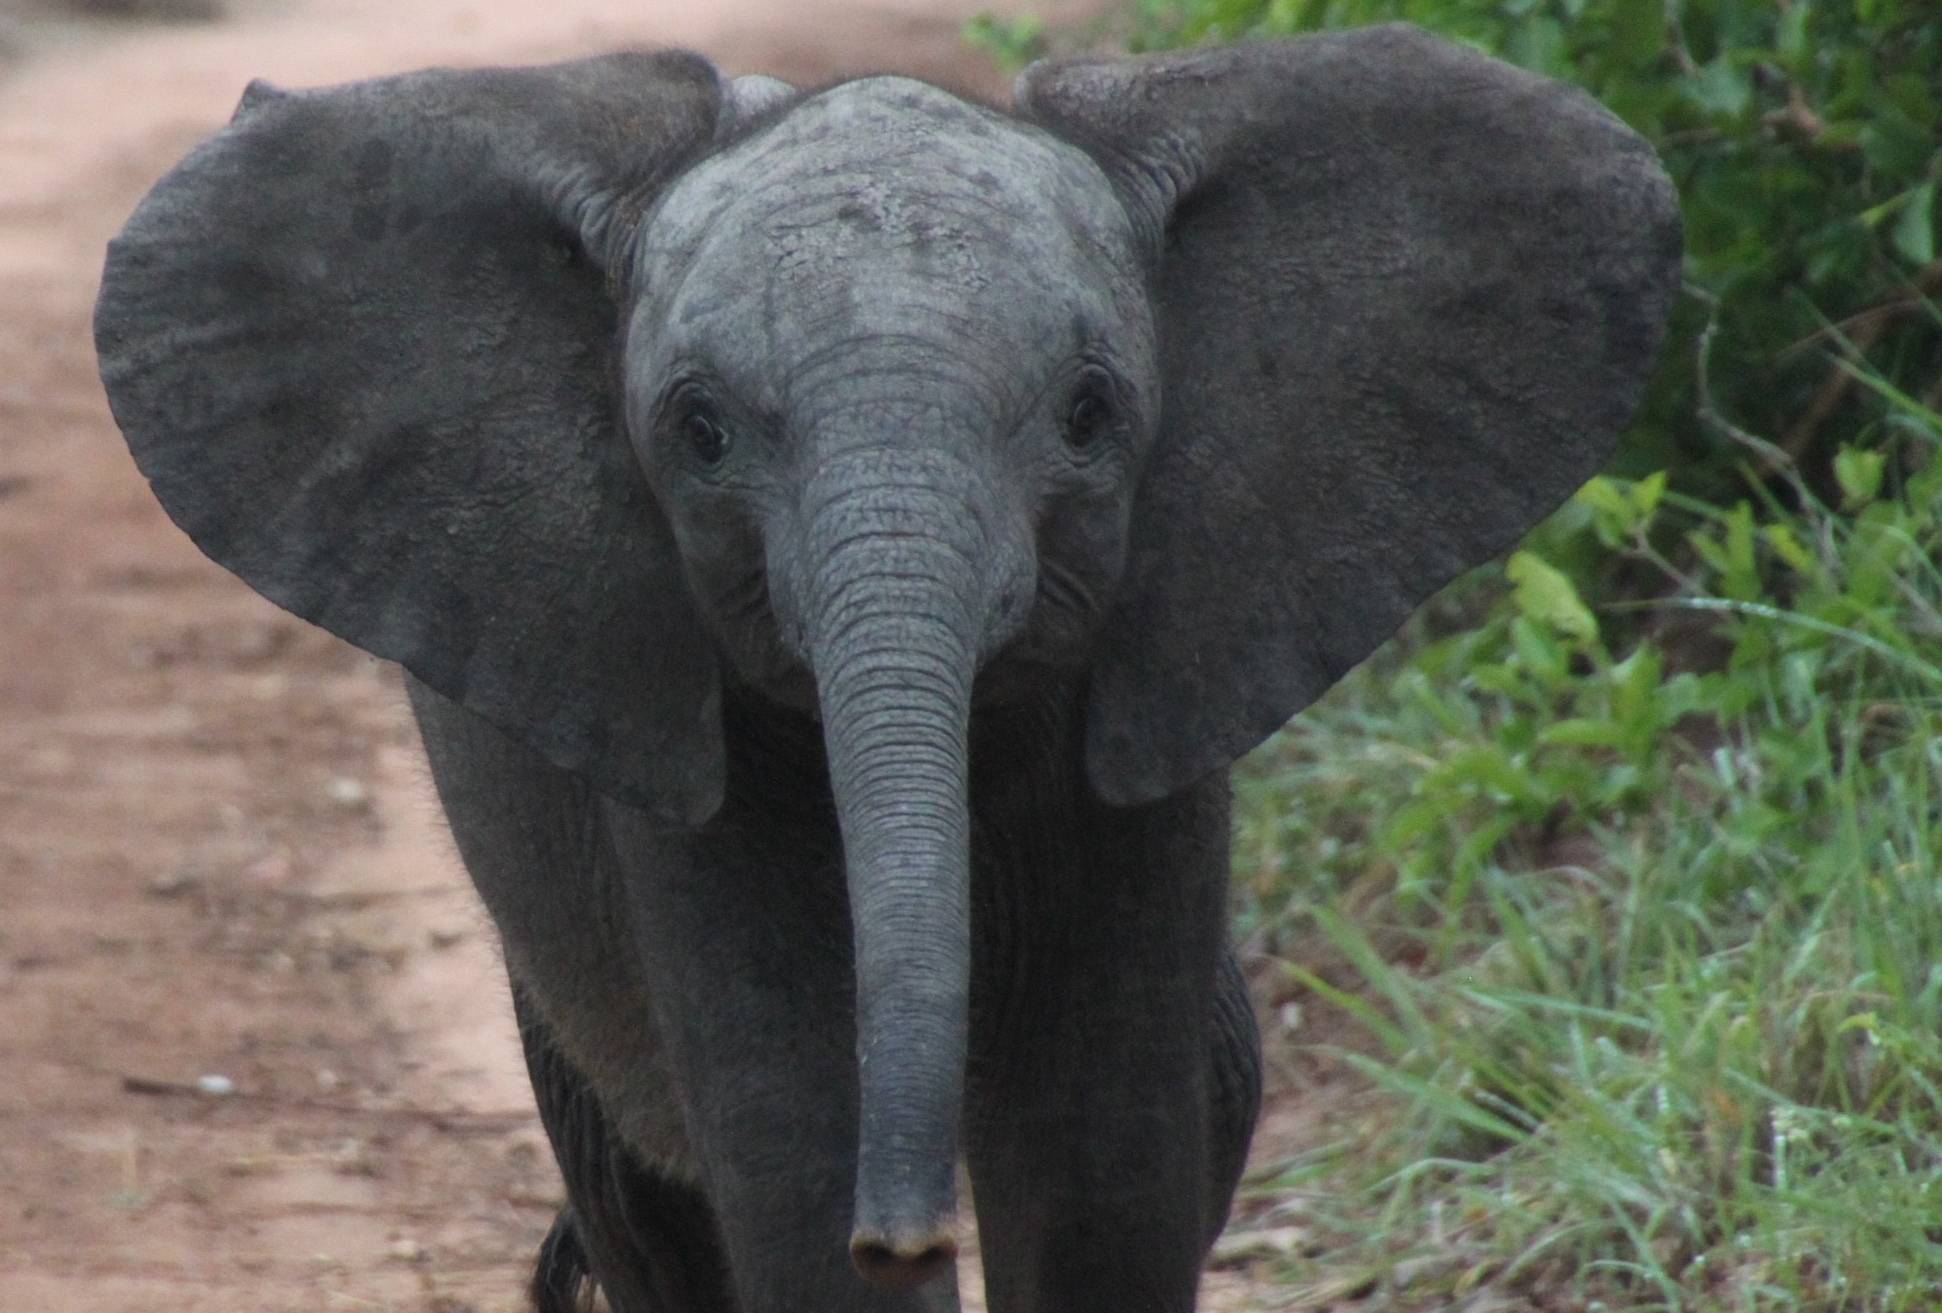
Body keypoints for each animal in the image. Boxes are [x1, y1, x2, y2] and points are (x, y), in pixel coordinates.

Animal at [91, 25, 1677, 1313]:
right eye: (700, 432)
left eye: (1091, 414)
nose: (908, 1232)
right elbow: (790, 1136)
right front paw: (856, 1230)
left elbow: (1106, 1156)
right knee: (642, 1200)